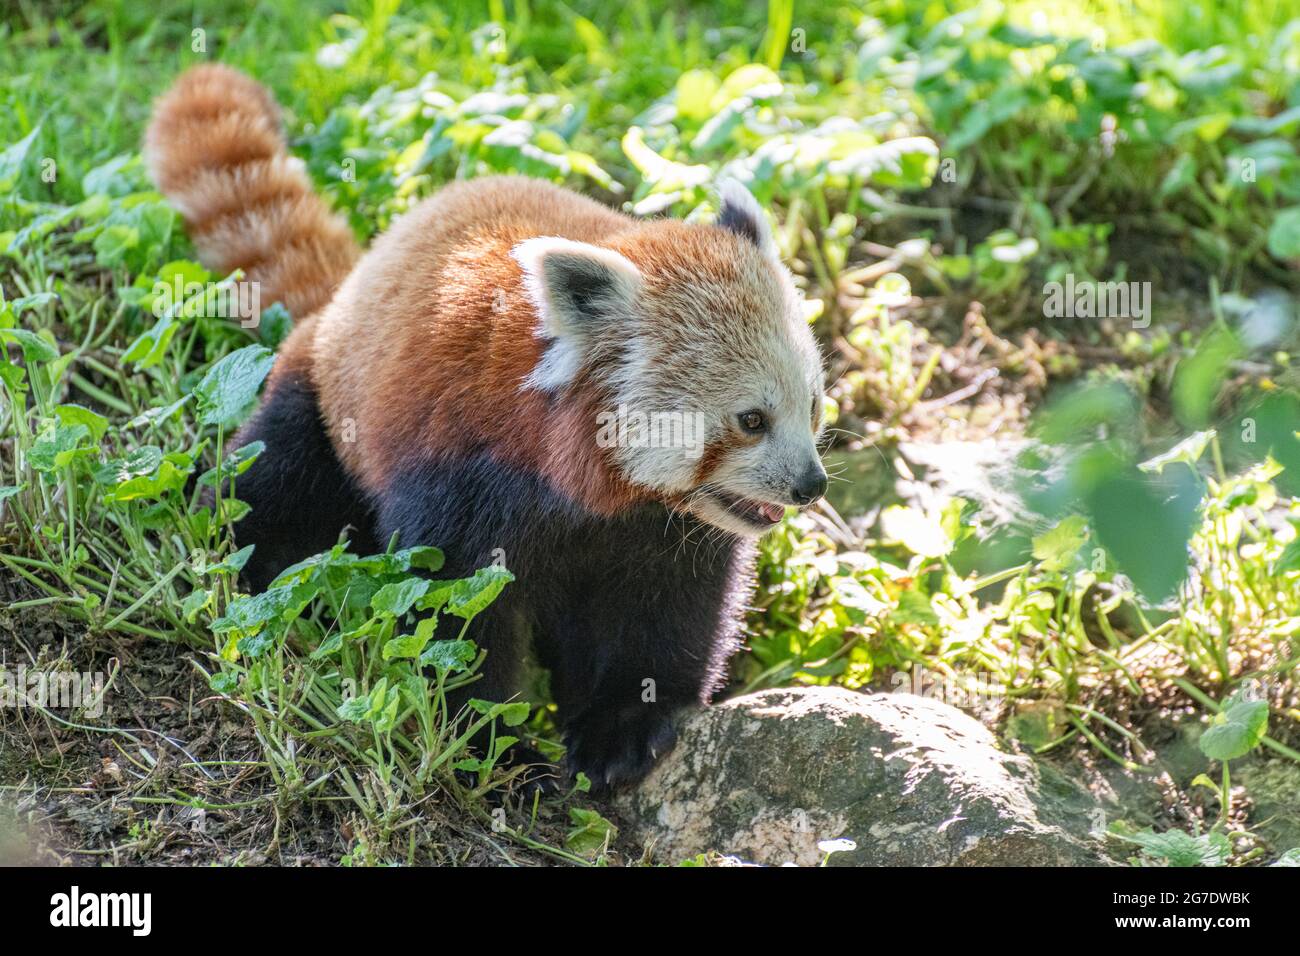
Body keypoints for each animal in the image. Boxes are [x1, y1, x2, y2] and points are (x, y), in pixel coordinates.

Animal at [147, 63, 826, 790]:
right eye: (751, 420)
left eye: (813, 407)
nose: (811, 485)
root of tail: (349, 285)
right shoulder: (461, 466)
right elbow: (453, 609)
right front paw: (491, 746)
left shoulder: (660, 529)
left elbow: (662, 615)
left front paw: (622, 727)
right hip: (321, 409)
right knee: (267, 483)